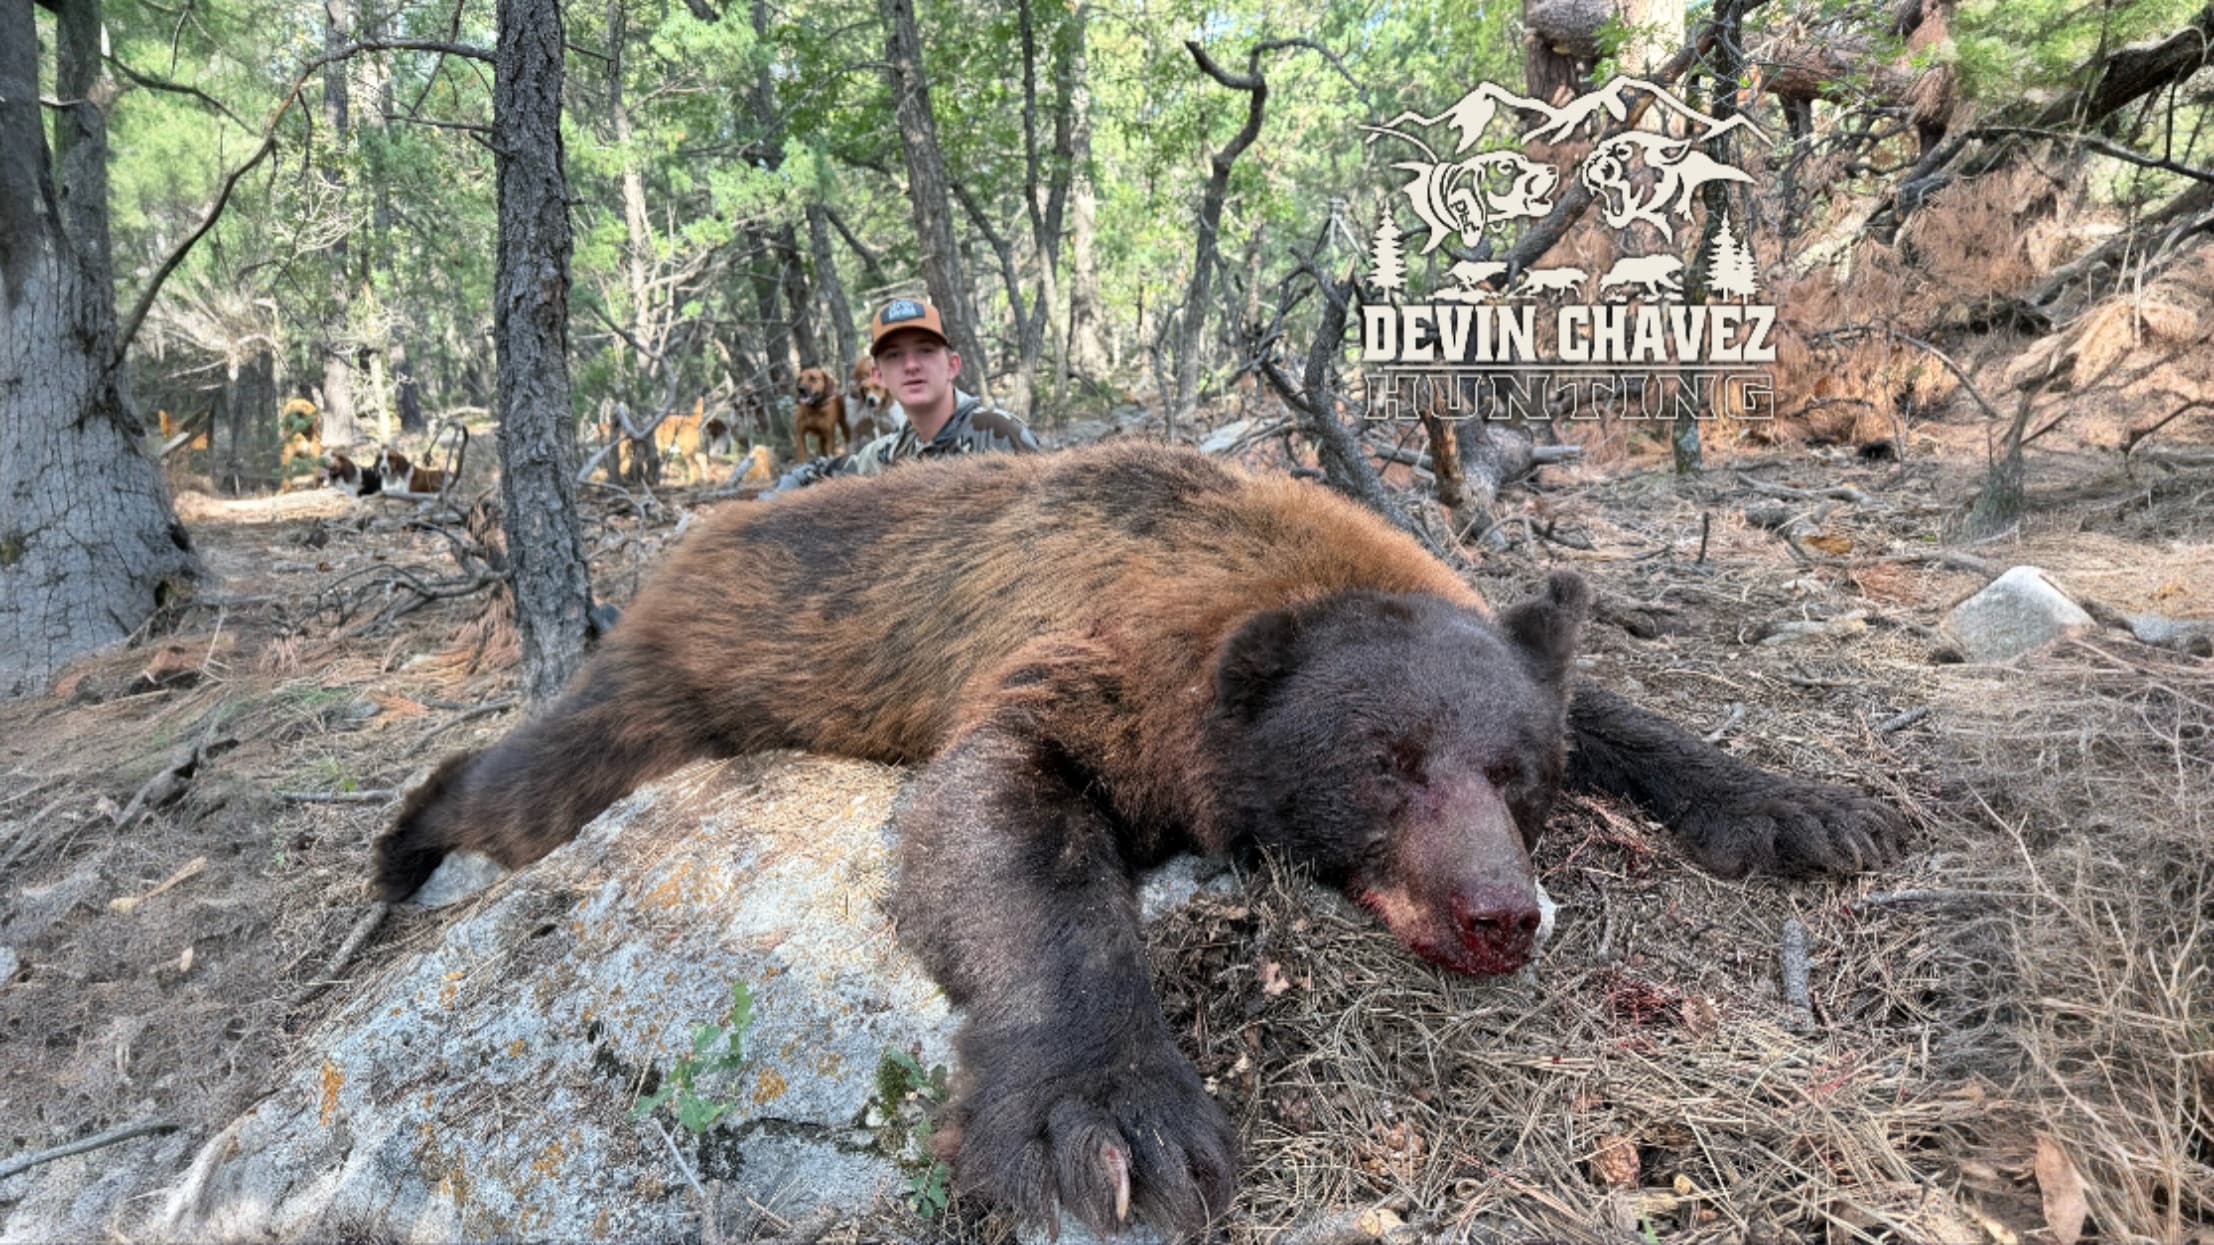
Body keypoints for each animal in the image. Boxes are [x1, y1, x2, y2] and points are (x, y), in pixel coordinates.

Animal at [370, 441, 1900, 1236]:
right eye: (1383, 767)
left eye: (1513, 777)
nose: (1498, 915)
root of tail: (695, 535)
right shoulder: (1086, 663)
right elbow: (1002, 822)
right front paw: (1110, 1113)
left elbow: (1624, 712)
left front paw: (1805, 800)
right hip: (679, 679)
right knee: (529, 777)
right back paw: (402, 850)